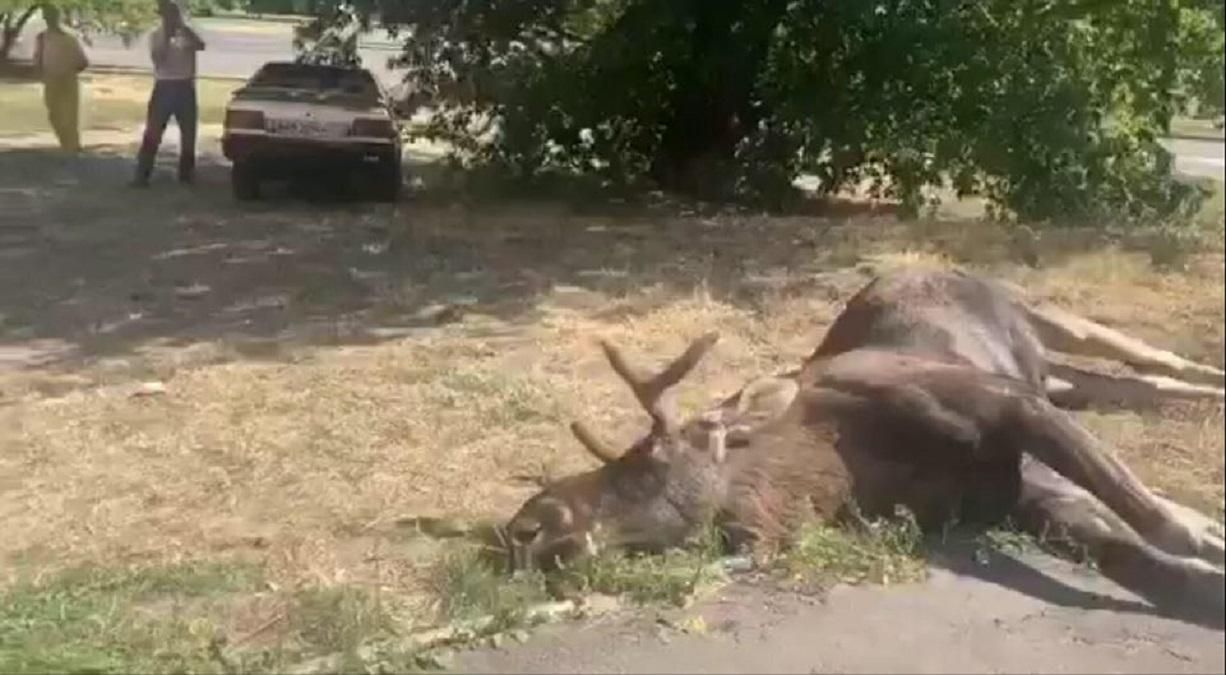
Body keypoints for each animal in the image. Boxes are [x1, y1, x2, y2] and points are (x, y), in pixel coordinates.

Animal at [502, 268, 1226, 622]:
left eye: (647, 456)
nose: (523, 525)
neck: (840, 472)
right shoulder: (1010, 497)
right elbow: (1144, 563)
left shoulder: (1004, 402)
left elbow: (1155, 518)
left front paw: (1207, 532)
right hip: (1059, 374)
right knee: (1134, 383)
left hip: (1048, 320)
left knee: (1156, 360)